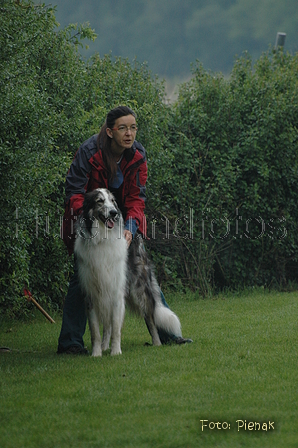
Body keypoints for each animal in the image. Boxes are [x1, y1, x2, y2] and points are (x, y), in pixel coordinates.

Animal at [74, 187, 182, 356]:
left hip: (139, 291)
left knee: (150, 318)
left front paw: (116, 352)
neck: (103, 239)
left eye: (113, 201)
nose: (114, 213)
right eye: (99, 201)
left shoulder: (117, 292)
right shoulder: (91, 293)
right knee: (107, 325)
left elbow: (116, 328)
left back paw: (157, 343)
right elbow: (95, 331)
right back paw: (104, 346)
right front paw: (96, 353)